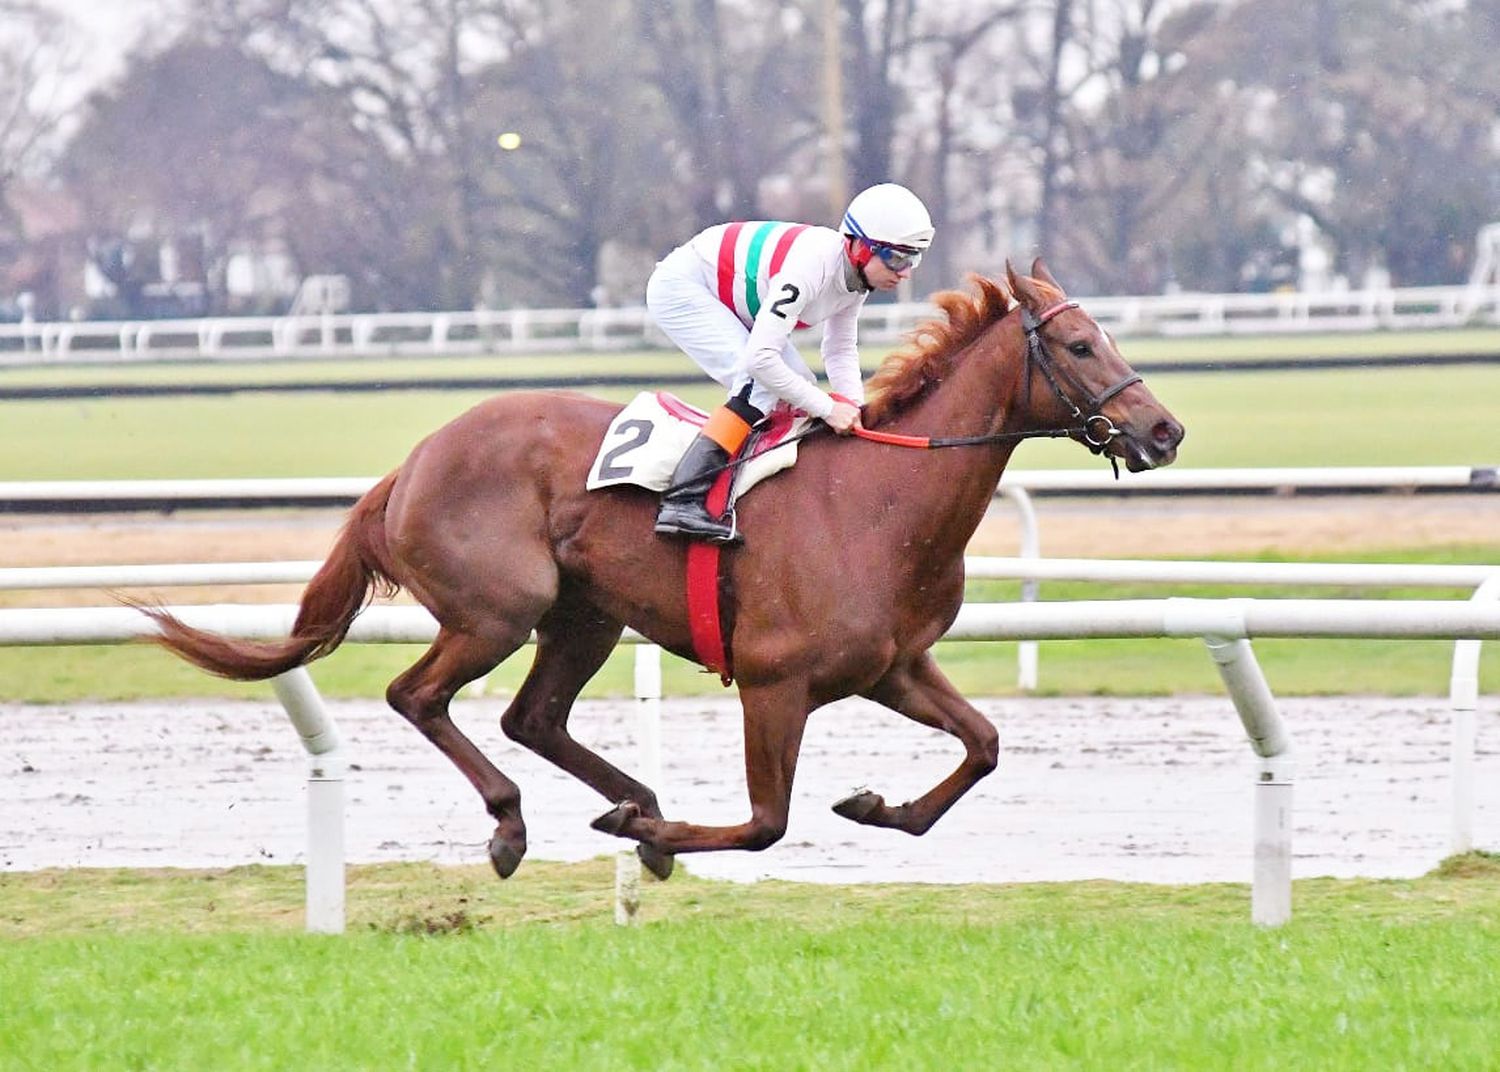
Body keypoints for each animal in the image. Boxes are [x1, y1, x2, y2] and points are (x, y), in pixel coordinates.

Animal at [146, 262, 1188, 881]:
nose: (1166, 430)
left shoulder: (893, 666)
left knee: (532, 717)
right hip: (498, 610)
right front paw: (653, 841)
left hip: (585, 617)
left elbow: (984, 746)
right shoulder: (774, 682)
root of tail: (413, 461)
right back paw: (521, 823)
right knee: (419, 696)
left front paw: (875, 804)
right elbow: (767, 822)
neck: (883, 501)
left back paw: (629, 800)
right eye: (1082, 344)